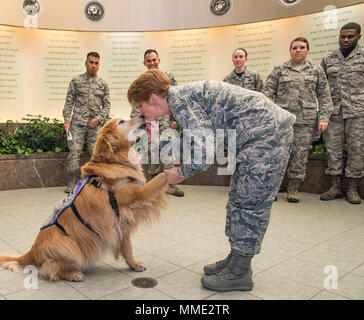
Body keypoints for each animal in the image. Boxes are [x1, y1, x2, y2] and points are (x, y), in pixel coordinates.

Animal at [0, 117, 168, 280]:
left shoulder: (121, 222)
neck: (115, 161)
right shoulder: (137, 195)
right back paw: (74, 275)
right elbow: (161, 177)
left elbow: (128, 248)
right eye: (121, 122)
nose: (143, 116)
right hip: (70, 246)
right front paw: (172, 172)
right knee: (48, 269)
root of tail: (31, 252)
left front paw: (134, 265)